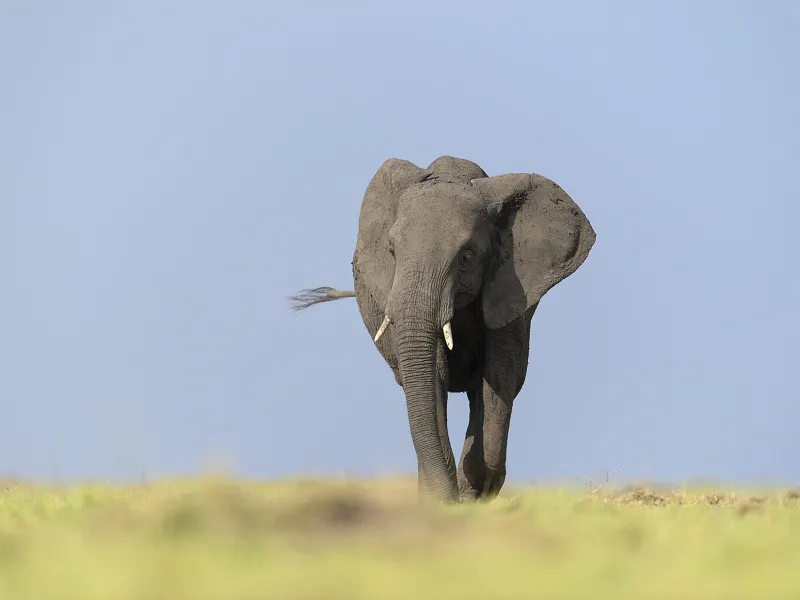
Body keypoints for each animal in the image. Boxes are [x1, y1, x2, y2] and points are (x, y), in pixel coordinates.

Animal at [289, 156, 596, 504]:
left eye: (466, 257)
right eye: (392, 252)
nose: (452, 496)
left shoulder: (512, 291)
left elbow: (500, 375)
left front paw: (473, 488)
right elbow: (432, 373)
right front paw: (444, 498)